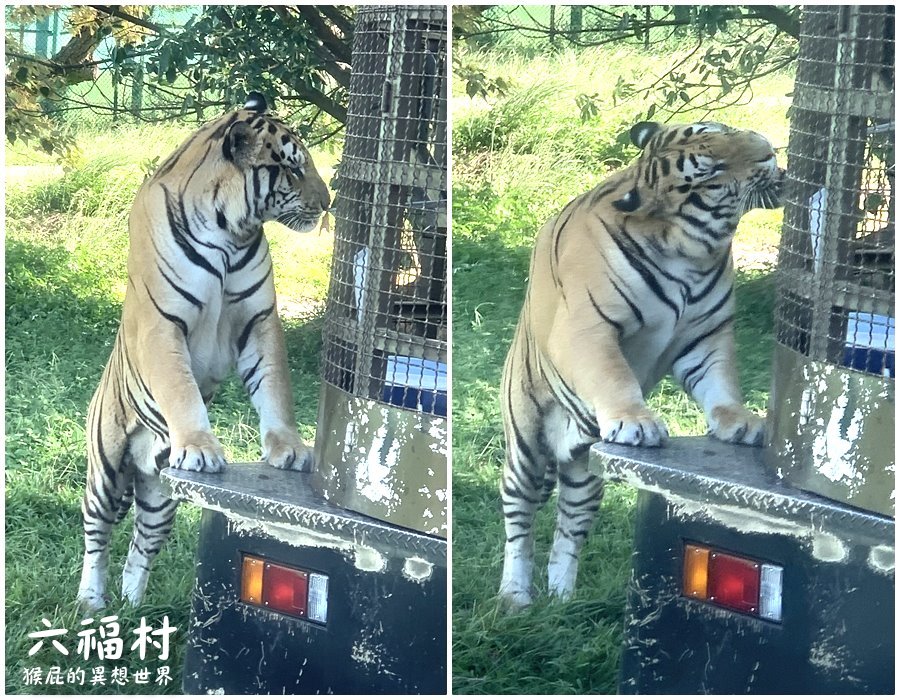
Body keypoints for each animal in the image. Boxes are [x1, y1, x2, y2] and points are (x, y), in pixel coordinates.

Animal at [76, 93, 330, 612]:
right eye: (293, 168)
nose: (329, 203)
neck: (230, 229)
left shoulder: (260, 320)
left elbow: (275, 387)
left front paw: (291, 448)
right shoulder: (163, 324)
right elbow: (180, 390)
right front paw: (199, 446)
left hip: (160, 496)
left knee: (141, 547)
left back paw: (135, 608)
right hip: (106, 472)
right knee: (98, 535)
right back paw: (92, 601)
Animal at [496, 120, 784, 608]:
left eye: (722, 128)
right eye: (712, 171)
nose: (767, 149)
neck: (690, 252)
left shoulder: (707, 336)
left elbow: (722, 384)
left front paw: (741, 421)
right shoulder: (586, 330)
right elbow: (613, 376)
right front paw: (637, 422)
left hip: (586, 476)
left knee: (568, 531)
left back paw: (562, 600)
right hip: (526, 452)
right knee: (520, 524)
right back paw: (516, 597)